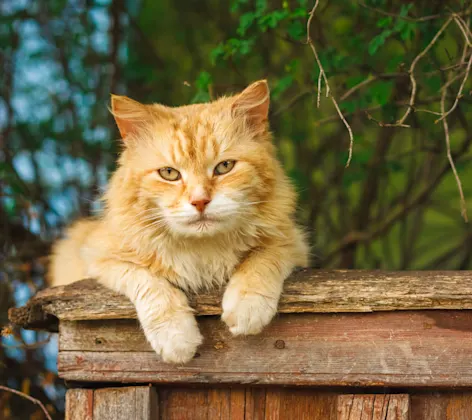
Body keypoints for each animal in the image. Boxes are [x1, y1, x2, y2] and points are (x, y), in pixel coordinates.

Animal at [48, 80, 310, 362]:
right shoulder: (97, 257)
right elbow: (149, 281)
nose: (200, 201)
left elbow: (262, 259)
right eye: (169, 173)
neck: (202, 249)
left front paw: (247, 307)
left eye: (224, 167)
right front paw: (176, 338)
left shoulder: (292, 243)